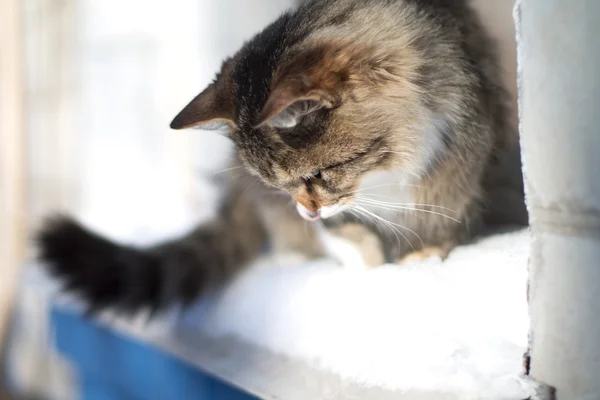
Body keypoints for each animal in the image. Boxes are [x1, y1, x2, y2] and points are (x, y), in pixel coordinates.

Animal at [37, 0, 528, 314]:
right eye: (282, 183)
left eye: (320, 172)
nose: (306, 211)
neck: (383, 176)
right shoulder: (313, 210)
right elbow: (348, 237)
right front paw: (363, 267)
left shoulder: (454, 170)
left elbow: (438, 222)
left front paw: (422, 256)